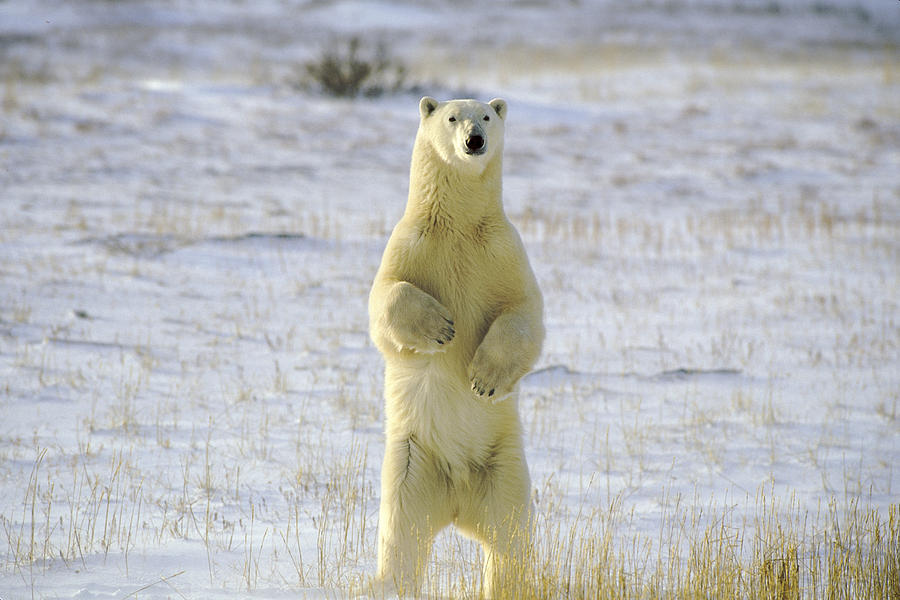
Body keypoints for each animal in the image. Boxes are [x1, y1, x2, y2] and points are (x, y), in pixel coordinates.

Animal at [370, 96, 544, 596]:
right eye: (451, 117)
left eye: (485, 116)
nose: (474, 141)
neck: (460, 225)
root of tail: (457, 504)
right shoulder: (410, 244)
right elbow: (385, 299)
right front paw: (442, 328)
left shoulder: (505, 252)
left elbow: (525, 313)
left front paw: (483, 379)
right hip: (412, 468)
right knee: (402, 542)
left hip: (504, 469)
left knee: (508, 542)